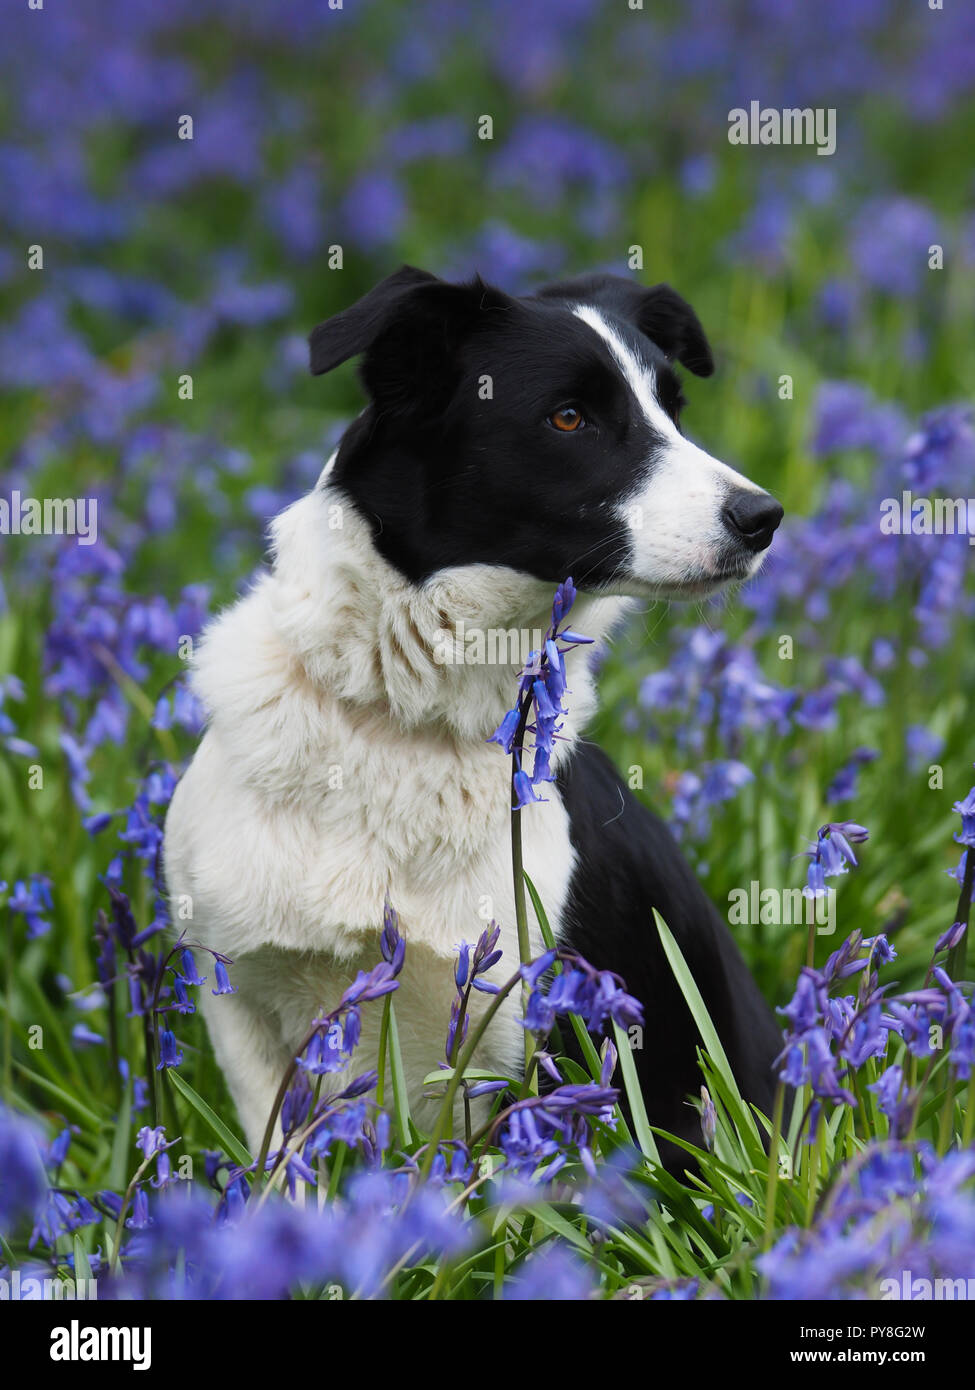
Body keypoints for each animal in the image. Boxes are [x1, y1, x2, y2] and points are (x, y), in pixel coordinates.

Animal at [165, 265, 784, 1167]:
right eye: (569, 416)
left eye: (673, 406)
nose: (762, 518)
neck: (402, 719)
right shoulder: (243, 1000)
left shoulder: (535, 1032)